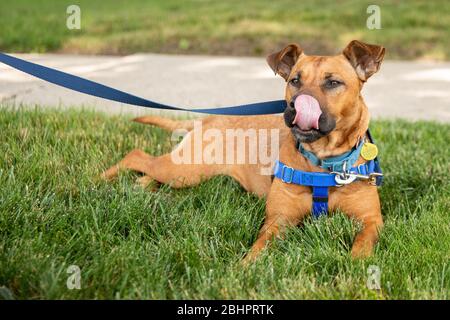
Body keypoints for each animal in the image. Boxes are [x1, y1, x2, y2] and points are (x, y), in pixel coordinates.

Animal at [103, 40, 386, 262]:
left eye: (333, 82)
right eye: (294, 80)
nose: (296, 106)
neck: (323, 163)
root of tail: (206, 120)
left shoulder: (371, 220)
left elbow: (363, 243)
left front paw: (356, 265)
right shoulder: (278, 220)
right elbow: (260, 246)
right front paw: (246, 266)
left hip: (183, 172)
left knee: (149, 170)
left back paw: (140, 185)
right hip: (186, 170)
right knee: (136, 155)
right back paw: (99, 180)